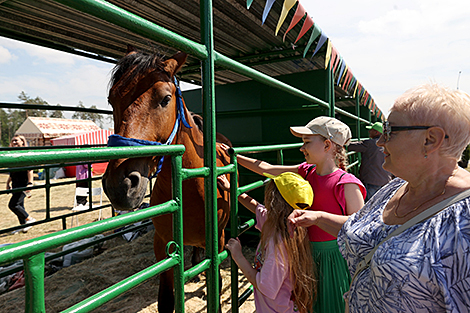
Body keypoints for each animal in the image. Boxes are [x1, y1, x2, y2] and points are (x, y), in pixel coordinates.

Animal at [103, 47, 232, 312]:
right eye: (112, 100)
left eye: (165, 99)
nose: (120, 185)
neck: (193, 187)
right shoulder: (162, 246)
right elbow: (165, 300)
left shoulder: (218, 242)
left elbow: (216, 282)